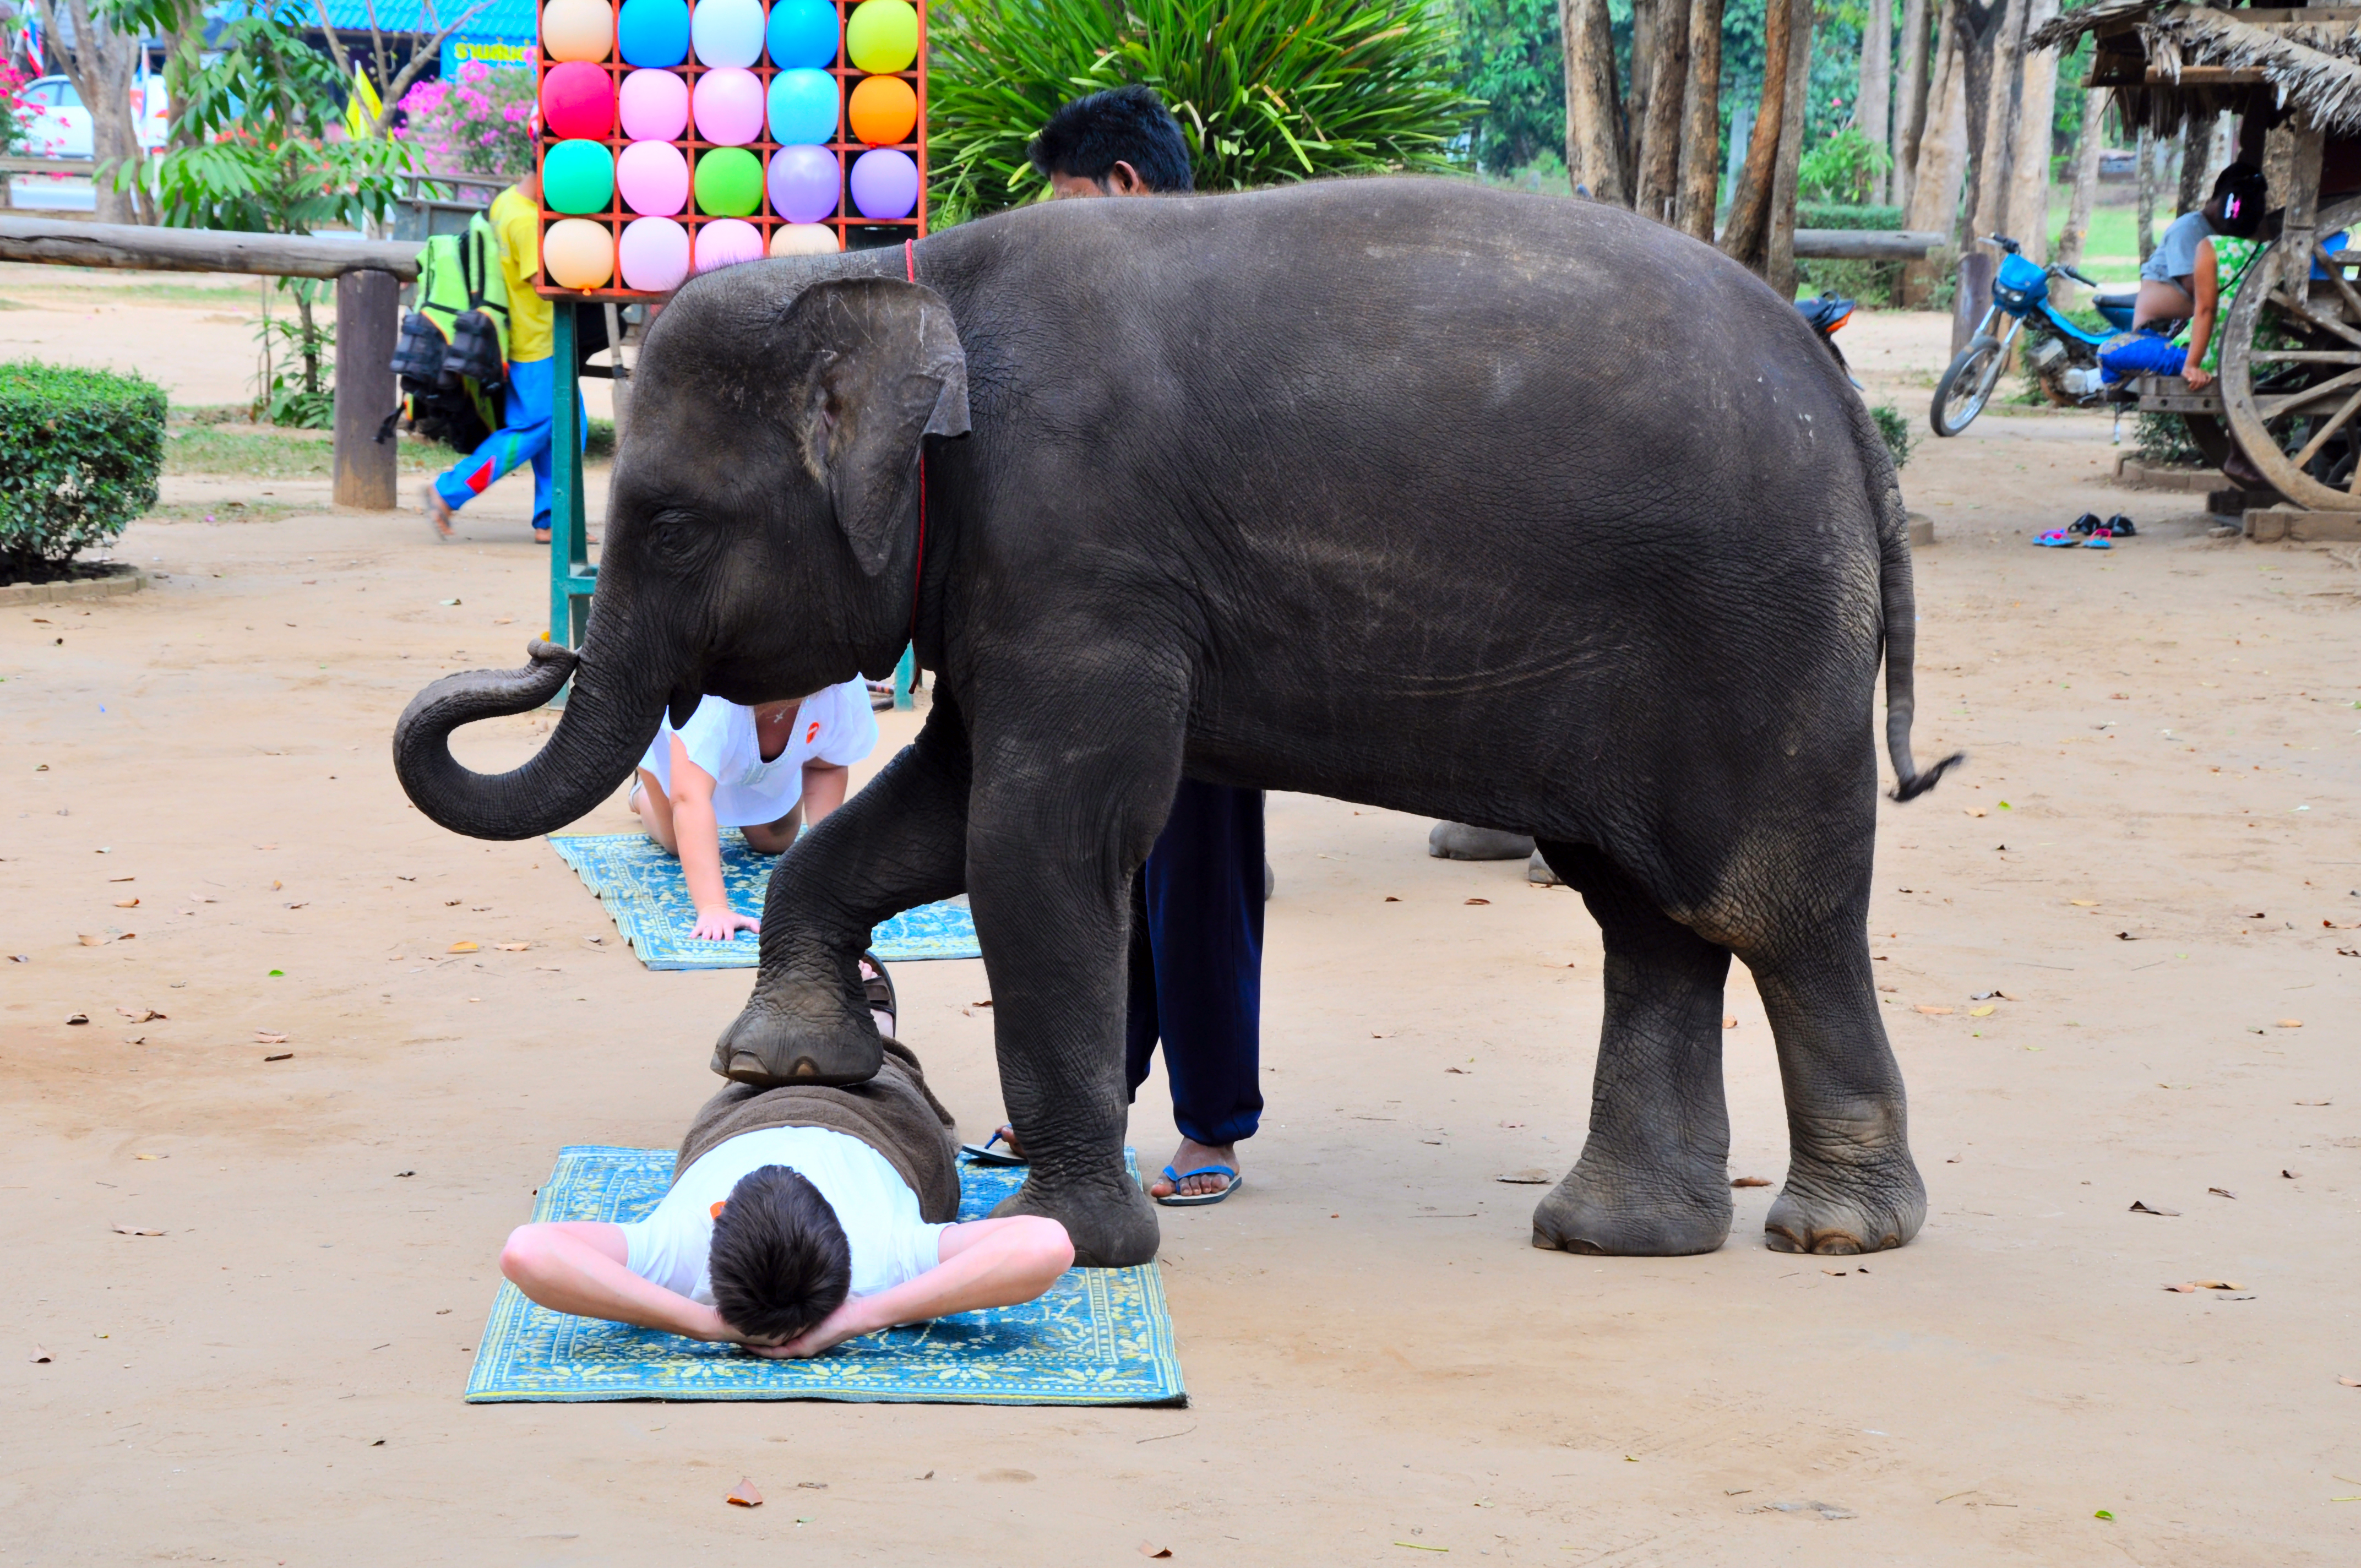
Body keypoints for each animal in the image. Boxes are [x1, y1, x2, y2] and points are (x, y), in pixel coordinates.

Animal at [396, 175, 1964, 1275]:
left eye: (668, 524)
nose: (537, 649)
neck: (910, 283)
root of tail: (1837, 394)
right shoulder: (1014, 574)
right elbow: (936, 807)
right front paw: (787, 1062)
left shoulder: (1081, 548)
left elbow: (1034, 838)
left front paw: (1060, 1243)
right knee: (1645, 918)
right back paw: (1616, 1233)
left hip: (1758, 635)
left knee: (1770, 909)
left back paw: (1832, 1232)